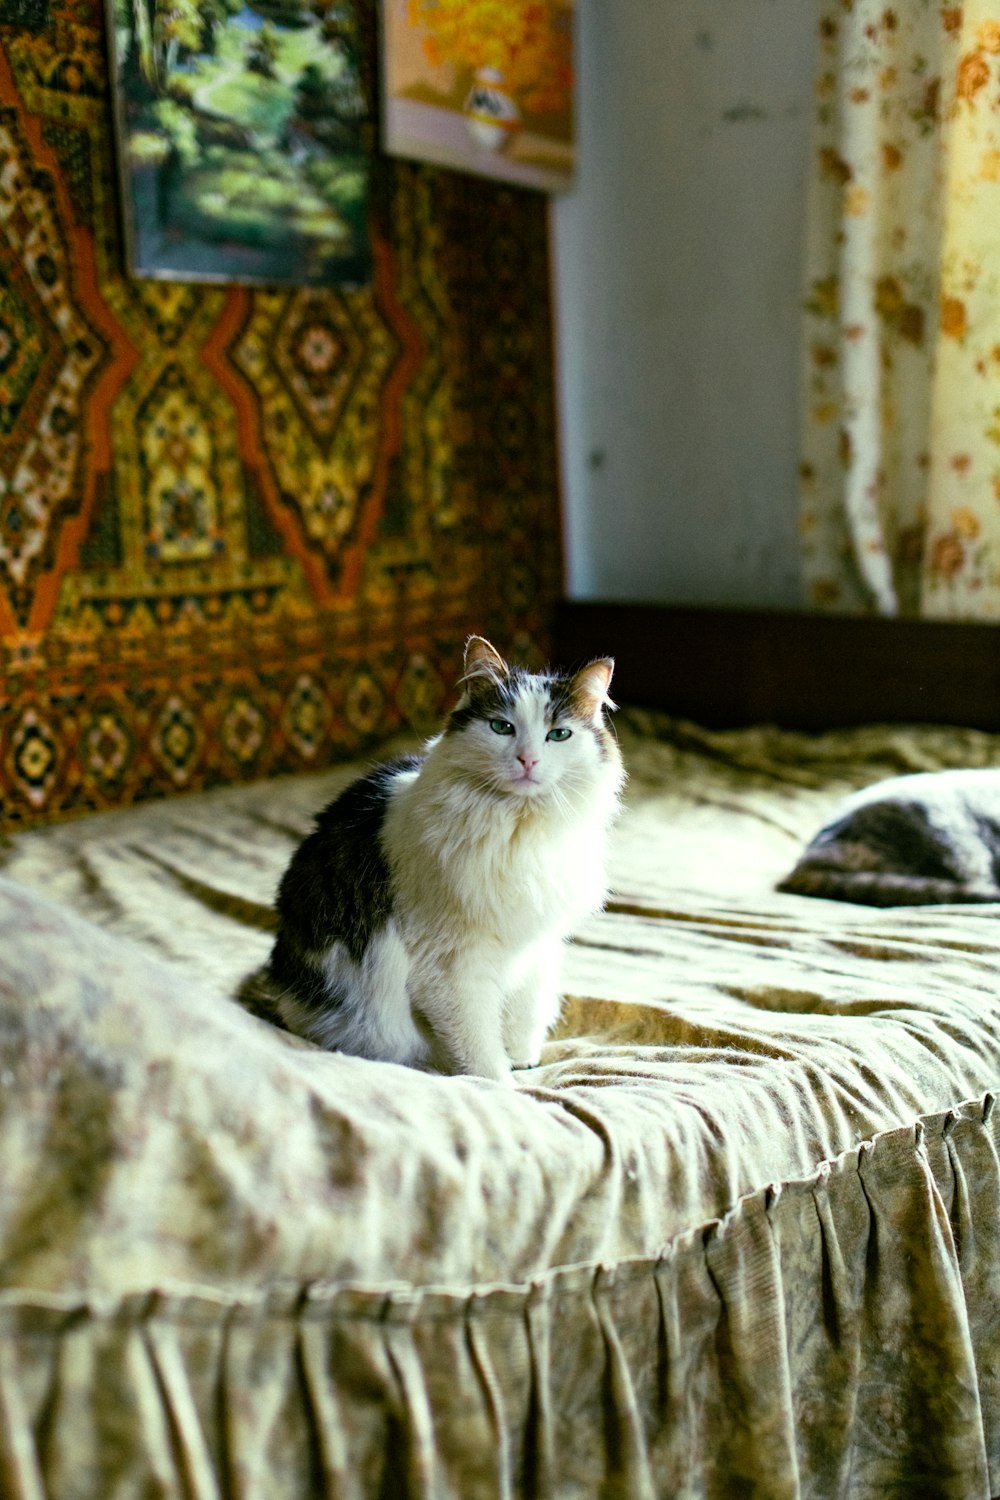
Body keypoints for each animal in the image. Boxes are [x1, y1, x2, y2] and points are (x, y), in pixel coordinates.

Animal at [239, 639, 626, 1086]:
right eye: (502, 728)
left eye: (558, 734)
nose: (528, 760)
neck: (518, 832)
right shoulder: (453, 965)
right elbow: (480, 1047)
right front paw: (505, 1086)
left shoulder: (534, 946)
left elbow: (522, 1014)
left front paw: (523, 1060)